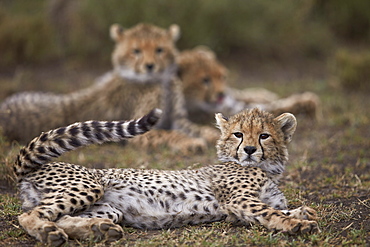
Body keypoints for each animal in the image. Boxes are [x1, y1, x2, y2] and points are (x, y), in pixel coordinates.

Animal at [15, 107, 318, 245]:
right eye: (238, 134)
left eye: (264, 135)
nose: (250, 150)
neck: (269, 169)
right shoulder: (238, 201)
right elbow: (270, 212)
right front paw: (296, 224)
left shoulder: (238, 210)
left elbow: (279, 208)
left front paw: (303, 213)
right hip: (88, 185)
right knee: (28, 215)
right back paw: (47, 232)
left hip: (109, 208)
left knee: (62, 218)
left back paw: (97, 230)